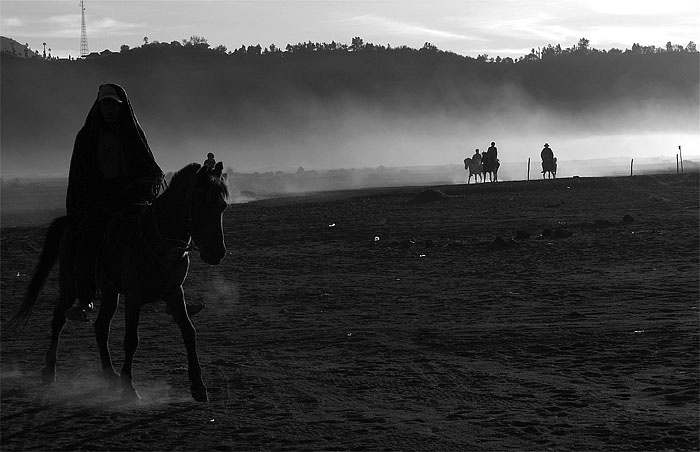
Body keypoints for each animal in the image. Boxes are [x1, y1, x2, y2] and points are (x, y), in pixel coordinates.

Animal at [6, 161, 230, 400]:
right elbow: (131, 340)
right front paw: (129, 387)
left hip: (110, 292)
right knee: (59, 318)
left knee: (101, 327)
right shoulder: (134, 297)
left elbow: (189, 331)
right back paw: (50, 369)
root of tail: (70, 223)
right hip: (69, 284)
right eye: (197, 201)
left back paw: (109, 374)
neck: (157, 238)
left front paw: (198, 385)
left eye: (222, 206)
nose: (216, 253)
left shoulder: (174, 292)